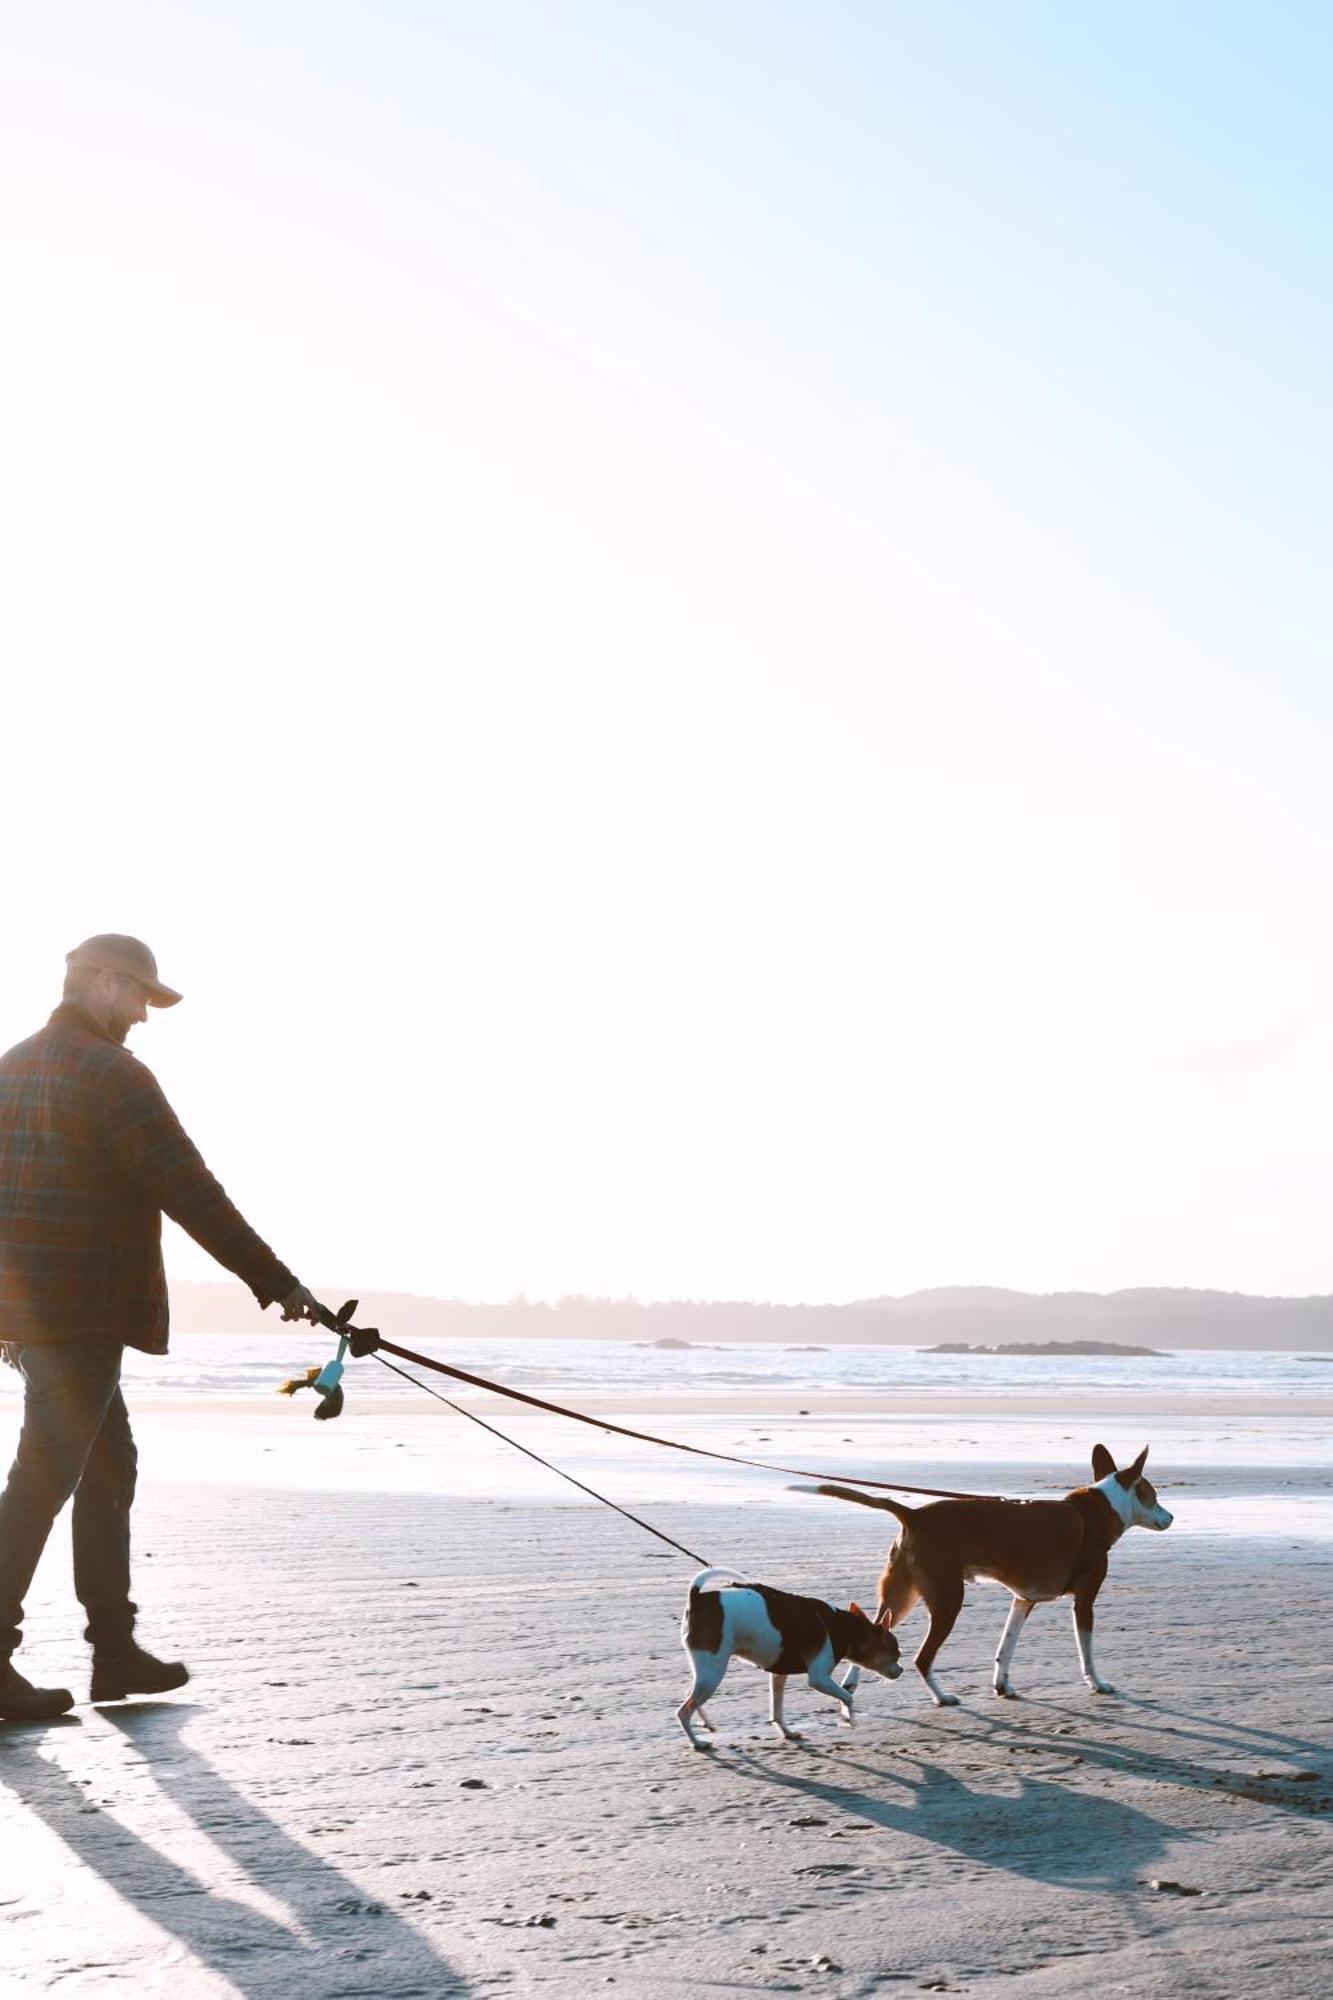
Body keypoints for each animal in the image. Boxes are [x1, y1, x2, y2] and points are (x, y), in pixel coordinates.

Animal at [676, 1560, 904, 1752]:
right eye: (895, 1654)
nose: (901, 1670)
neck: (845, 1629)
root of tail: (698, 1598)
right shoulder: (819, 1679)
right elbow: (847, 1697)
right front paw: (849, 1718)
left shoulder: (779, 1674)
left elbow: (777, 1711)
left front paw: (787, 1733)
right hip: (712, 1673)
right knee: (683, 1711)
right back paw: (697, 1743)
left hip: (705, 1673)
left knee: (690, 1694)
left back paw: (706, 1724)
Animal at [800, 1448, 1160, 1712]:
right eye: (1153, 1496)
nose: (1168, 1516)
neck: (1095, 1514)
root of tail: (913, 1515)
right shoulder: (1084, 1601)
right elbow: (1087, 1652)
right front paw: (1097, 1683)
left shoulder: (1023, 1600)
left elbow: (1006, 1647)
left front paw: (1003, 1685)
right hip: (947, 1601)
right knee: (922, 1658)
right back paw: (941, 1697)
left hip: (901, 1597)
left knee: (875, 1631)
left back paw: (851, 1688)